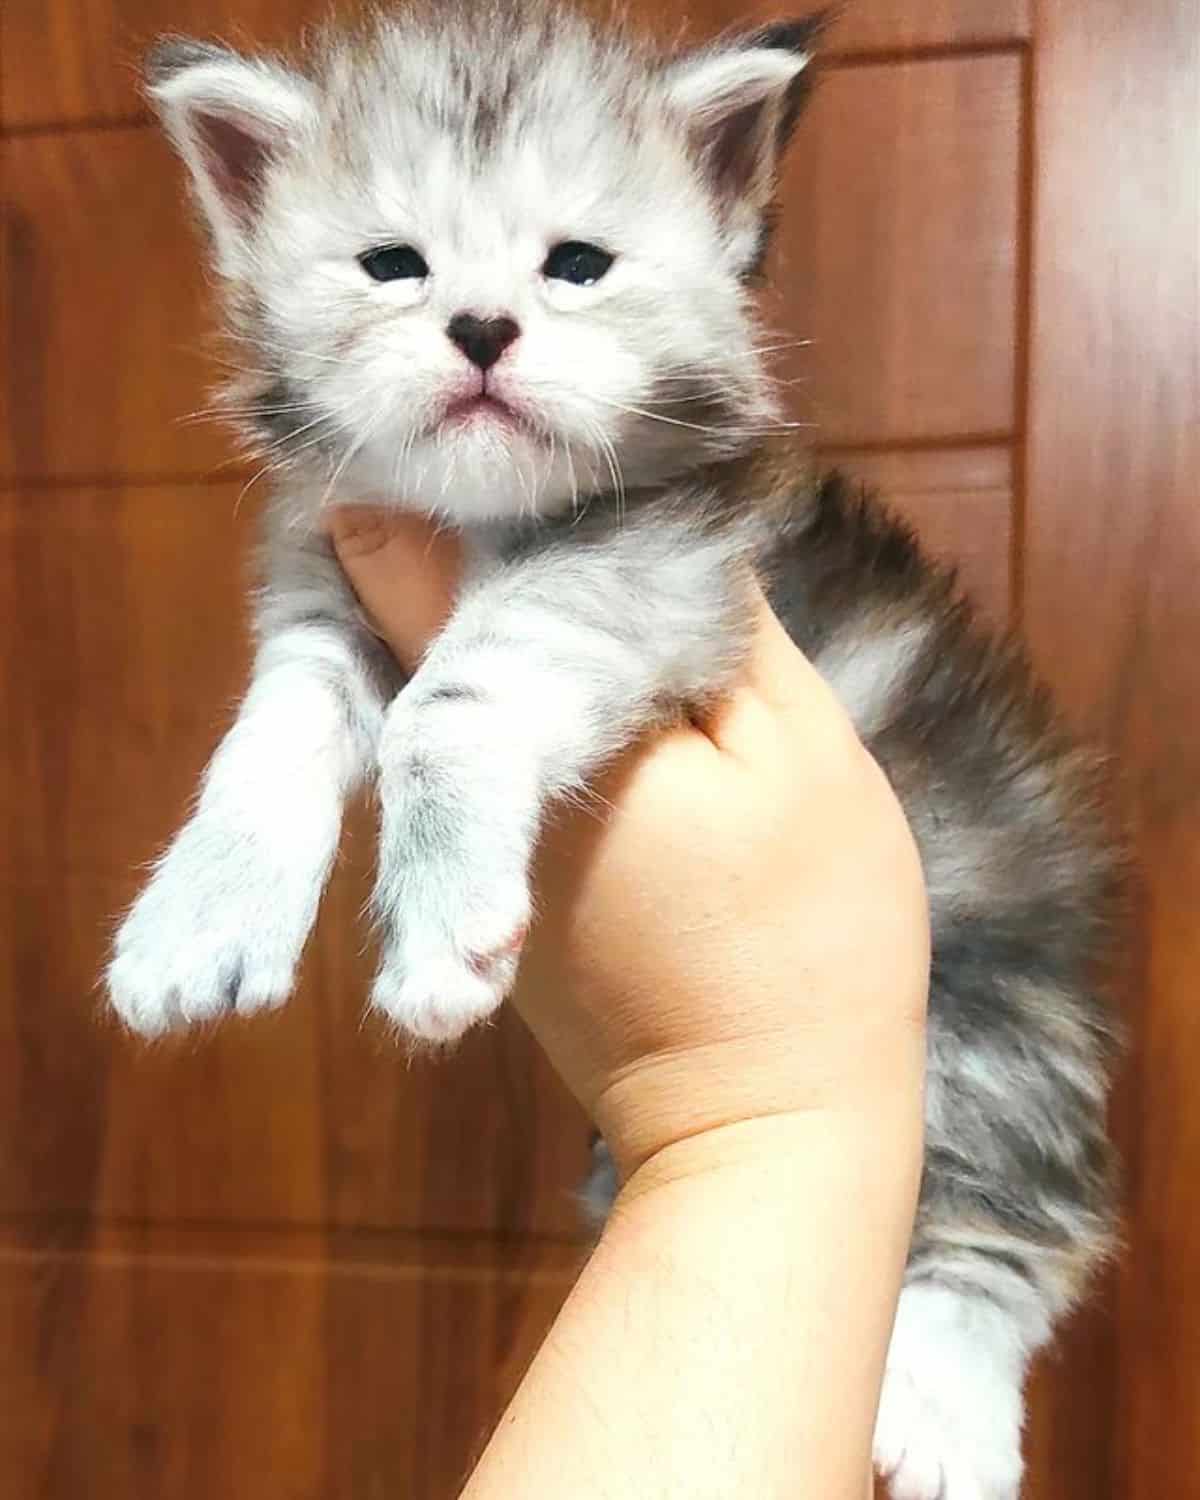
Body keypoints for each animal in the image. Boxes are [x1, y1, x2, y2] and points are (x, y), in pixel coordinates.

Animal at [108, 5, 1122, 1494]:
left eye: (575, 265)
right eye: (393, 265)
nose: (482, 327)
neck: (483, 522)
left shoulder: (657, 568)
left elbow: (456, 697)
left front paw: (438, 926)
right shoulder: (323, 589)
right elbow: (274, 733)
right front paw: (202, 914)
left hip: (991, 1004)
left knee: (1007, 1224)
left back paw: (945, 1405)